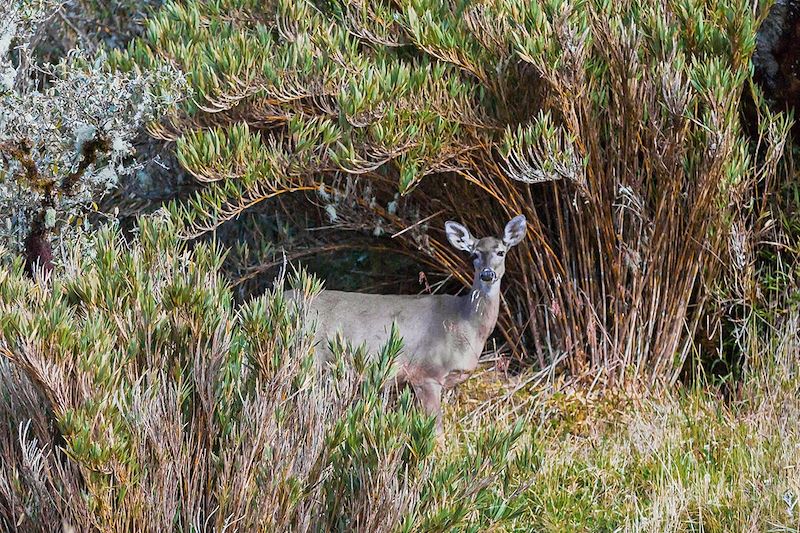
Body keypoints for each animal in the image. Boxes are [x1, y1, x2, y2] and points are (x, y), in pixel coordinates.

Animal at [284, 214, 528, 430]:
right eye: (474, 254)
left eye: (501, 252)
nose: (487, 274)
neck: (464, 324)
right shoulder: (426, 372)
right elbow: (436, 432)